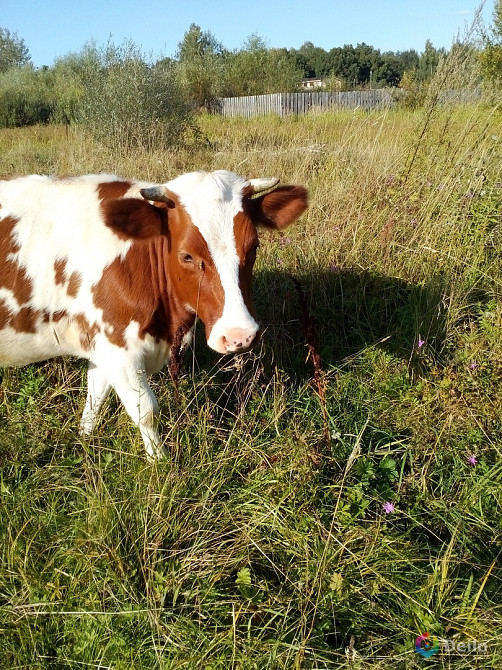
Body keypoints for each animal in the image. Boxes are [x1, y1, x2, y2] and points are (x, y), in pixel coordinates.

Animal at [0, 171, 308, 460]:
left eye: (253, 247)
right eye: (186, 255)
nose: (239, 336)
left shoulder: (101, 342)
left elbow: (95, 397)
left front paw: (85, 439)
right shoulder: (117, 346)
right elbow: (145, 410)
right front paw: (160, 463)